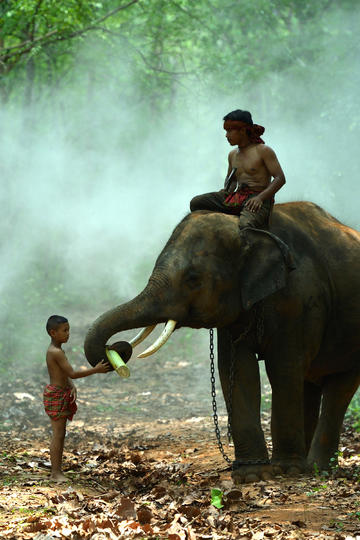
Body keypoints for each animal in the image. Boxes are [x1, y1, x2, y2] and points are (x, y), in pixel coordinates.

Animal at [83, 201, 360, 480]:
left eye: (193, 278)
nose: (117, 349)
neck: (250, 232)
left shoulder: (299, 301)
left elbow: (283, 367)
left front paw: (286, 470)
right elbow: (237, 370)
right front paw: (252, 474)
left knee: (338, 388)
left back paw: (316, 468)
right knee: (309, 385)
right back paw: (309, 465)